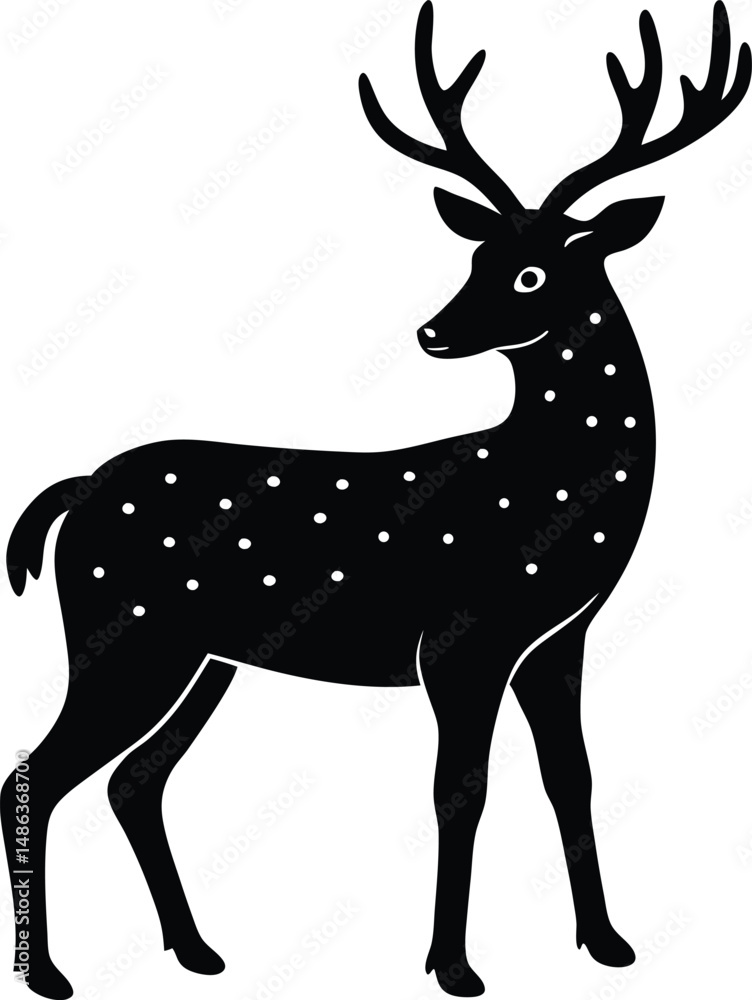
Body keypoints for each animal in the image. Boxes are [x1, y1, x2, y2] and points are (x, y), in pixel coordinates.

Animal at [2, 2, 749, 998]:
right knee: (39, 774)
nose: (432, 332)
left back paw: (198, 951)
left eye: (532, 273)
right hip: (122, 634)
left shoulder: (560, 638)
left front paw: (609, 944)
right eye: (478, 253)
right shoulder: (462, 637)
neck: (551, 497)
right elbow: (460, 790)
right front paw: (454, 967)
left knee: (134, 781)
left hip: (201, 657)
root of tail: (75, 491)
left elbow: (573, 777)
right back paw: (50, 972)